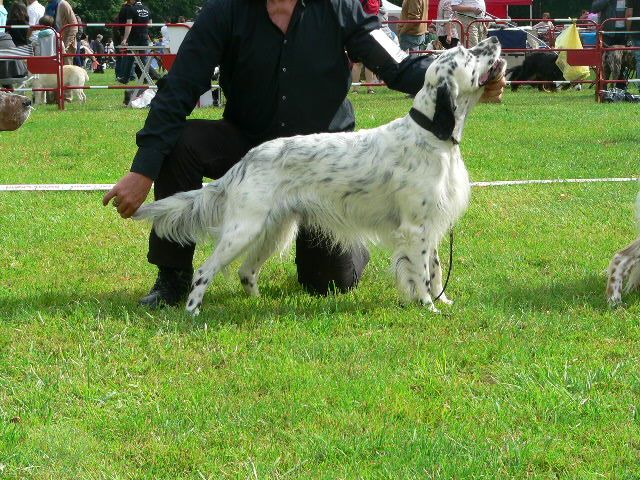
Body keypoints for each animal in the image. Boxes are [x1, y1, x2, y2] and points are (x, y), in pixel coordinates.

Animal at [134, 36, 504, 316]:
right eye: (469, 54)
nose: (496, 39)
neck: (431, 134)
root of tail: (245, 161)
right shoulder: (415, 229)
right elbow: (422, 274)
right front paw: (429, 307)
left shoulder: (432, 224)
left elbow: (436, 271)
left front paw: (444, 301)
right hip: (243, 229)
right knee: (203, 271)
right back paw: (192, 311)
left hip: (273, 230)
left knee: (245, 271)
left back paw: (257, 303)